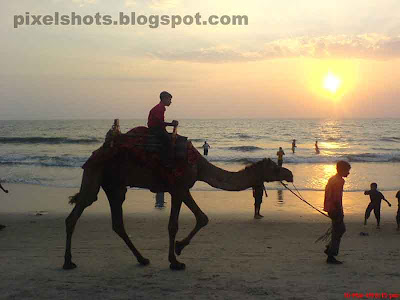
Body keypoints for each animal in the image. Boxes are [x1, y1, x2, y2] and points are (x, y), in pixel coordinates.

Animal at [63, 138, 294, 270]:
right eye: (276, 168)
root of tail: (94, 154)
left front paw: (174, 257)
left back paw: (142, 259)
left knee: (117, 223)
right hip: (94, 174)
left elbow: (175, 224)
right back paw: (68, 262)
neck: (199, 165)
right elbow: (200, 218)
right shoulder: (180, 186)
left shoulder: (176, 190)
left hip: (115, 185)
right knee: (77, 212)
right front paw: (178, 254)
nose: (290, 174)